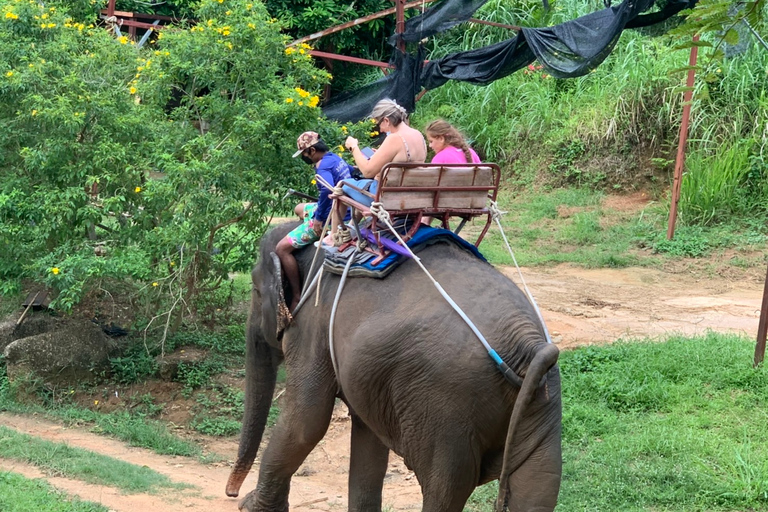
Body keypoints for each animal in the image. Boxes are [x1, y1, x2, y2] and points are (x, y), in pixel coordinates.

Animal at [225, 222, 560, 512]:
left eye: (255, 290)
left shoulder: (312, 325)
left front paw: (251, 506)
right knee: (538, 489)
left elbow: (306, 422)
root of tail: (527, 341)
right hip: (541, 403)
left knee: (444, 491)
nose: (232, 493)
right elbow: (368, 443)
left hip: (446, 408)